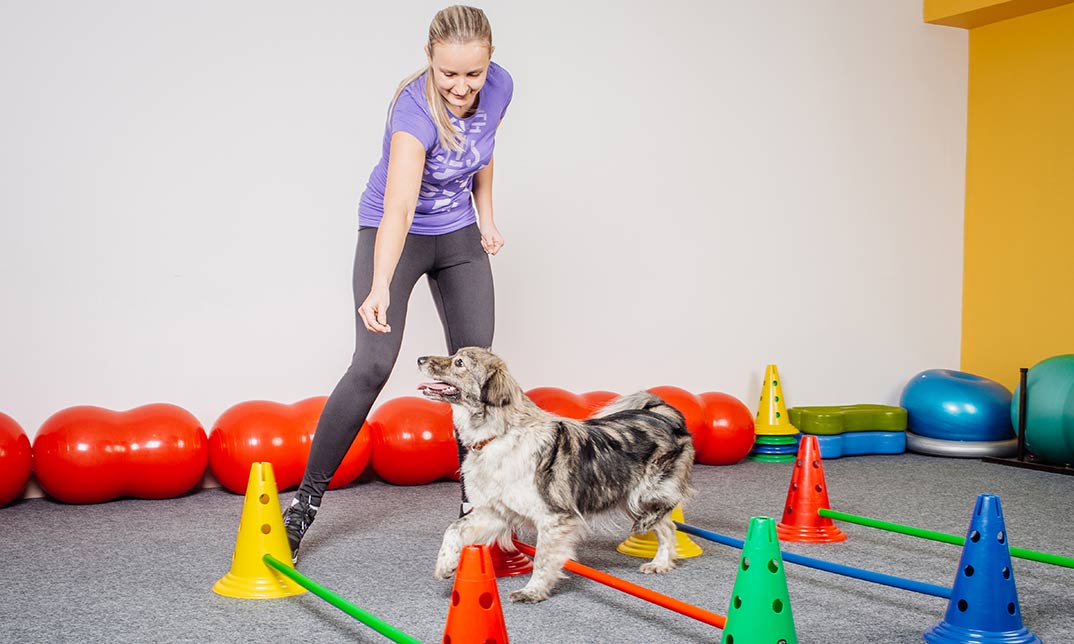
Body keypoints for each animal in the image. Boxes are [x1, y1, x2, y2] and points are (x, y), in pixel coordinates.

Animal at [414, 347, 691, 605]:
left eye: (459, 363)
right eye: (454, 356)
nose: (419, 359)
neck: (501, 434)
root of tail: (663, 414)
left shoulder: (554, 518)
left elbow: (543, 559)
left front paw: (533, 591)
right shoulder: (496, 512)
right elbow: (454, 528)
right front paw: (445, 564)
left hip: (644, 493)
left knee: (667, 510)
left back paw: (652, 540)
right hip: (627, 497)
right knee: (668, 527)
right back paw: (661, 563)